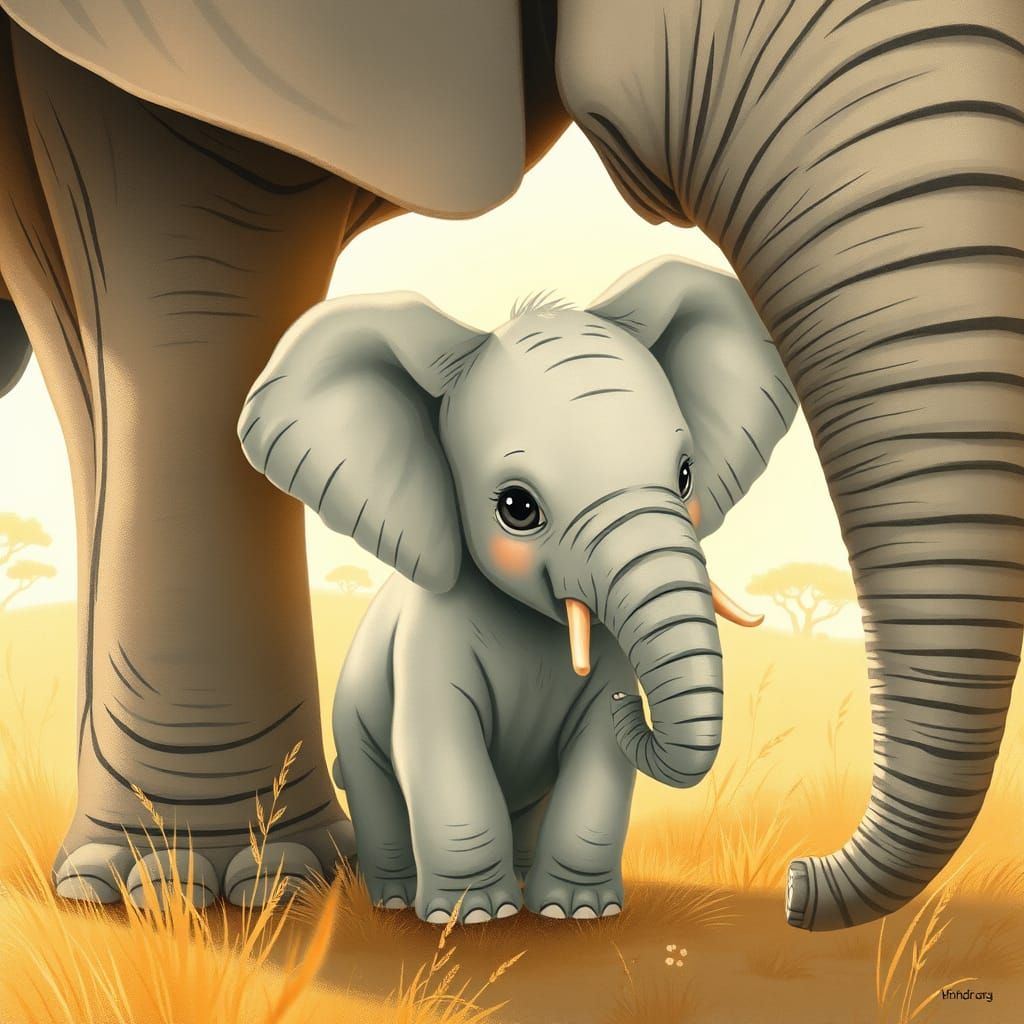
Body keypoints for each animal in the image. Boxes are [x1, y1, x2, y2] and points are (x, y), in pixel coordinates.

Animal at [238, 256, 790, 923]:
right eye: (517, 508)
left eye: (686, 477)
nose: (630, 704)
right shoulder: (427, 645)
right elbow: (438, 746)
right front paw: (473, 917)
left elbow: (598, 754)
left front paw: (577, 912)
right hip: (352, 715)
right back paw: (396, 900)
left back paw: (527, 888)